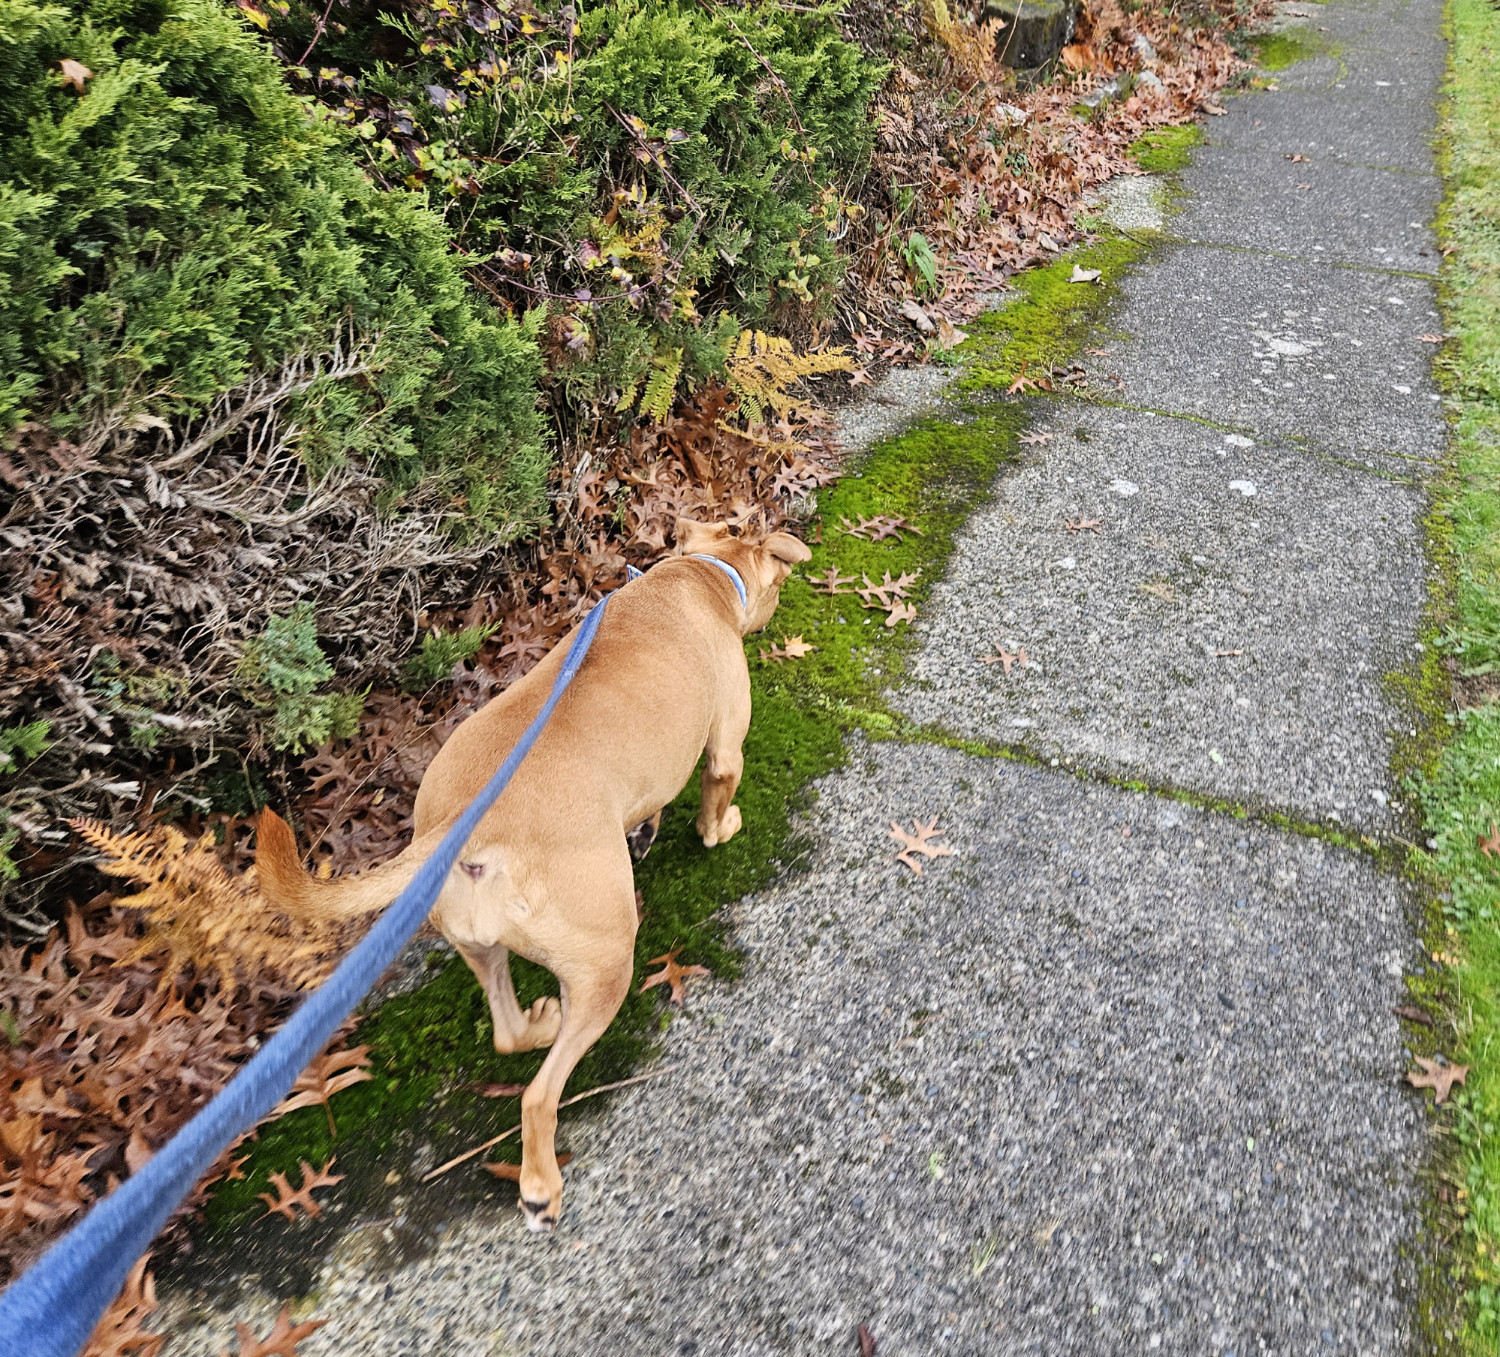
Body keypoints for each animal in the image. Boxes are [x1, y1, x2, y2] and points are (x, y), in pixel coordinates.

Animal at [252, 518, 810, 1229]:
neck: (703, 574)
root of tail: (458, 828)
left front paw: (646, 832)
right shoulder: (724, 750)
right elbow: (714, 807)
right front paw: (724, 826)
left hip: (479, 942)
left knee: (508, 1031)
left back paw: (539, 1022)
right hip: (606, 959)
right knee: (539, 1094)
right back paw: (541, 1184)